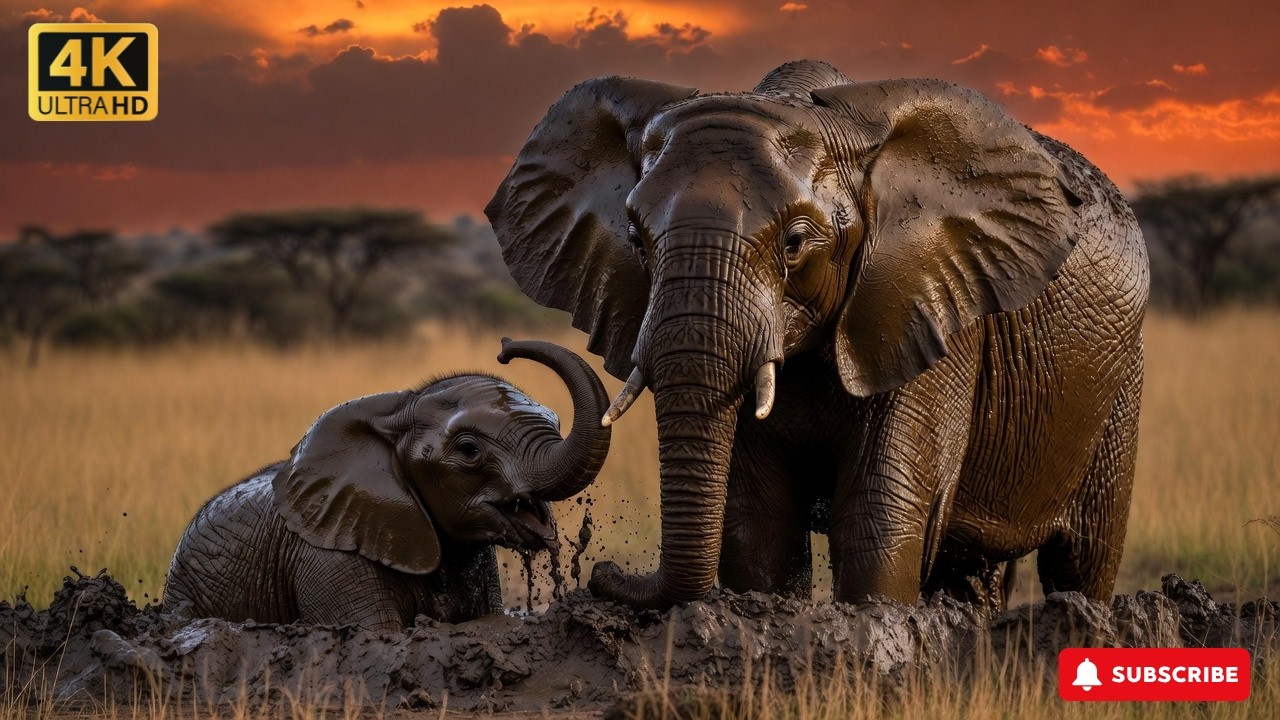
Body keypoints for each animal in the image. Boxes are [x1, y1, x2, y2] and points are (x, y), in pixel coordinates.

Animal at [163, 338, 611, 630]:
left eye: (555, 421)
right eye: (469, 451)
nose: (504, 347)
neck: (396, 410)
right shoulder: (328, 557)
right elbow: (374, 631)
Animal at [485, 60, 1148, 612]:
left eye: (796, 243)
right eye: (635, 238)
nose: (598, 571)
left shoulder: (931, 308)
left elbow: (879, 515)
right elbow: (761, 522)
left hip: (1121, 382)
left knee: (1084, 557)